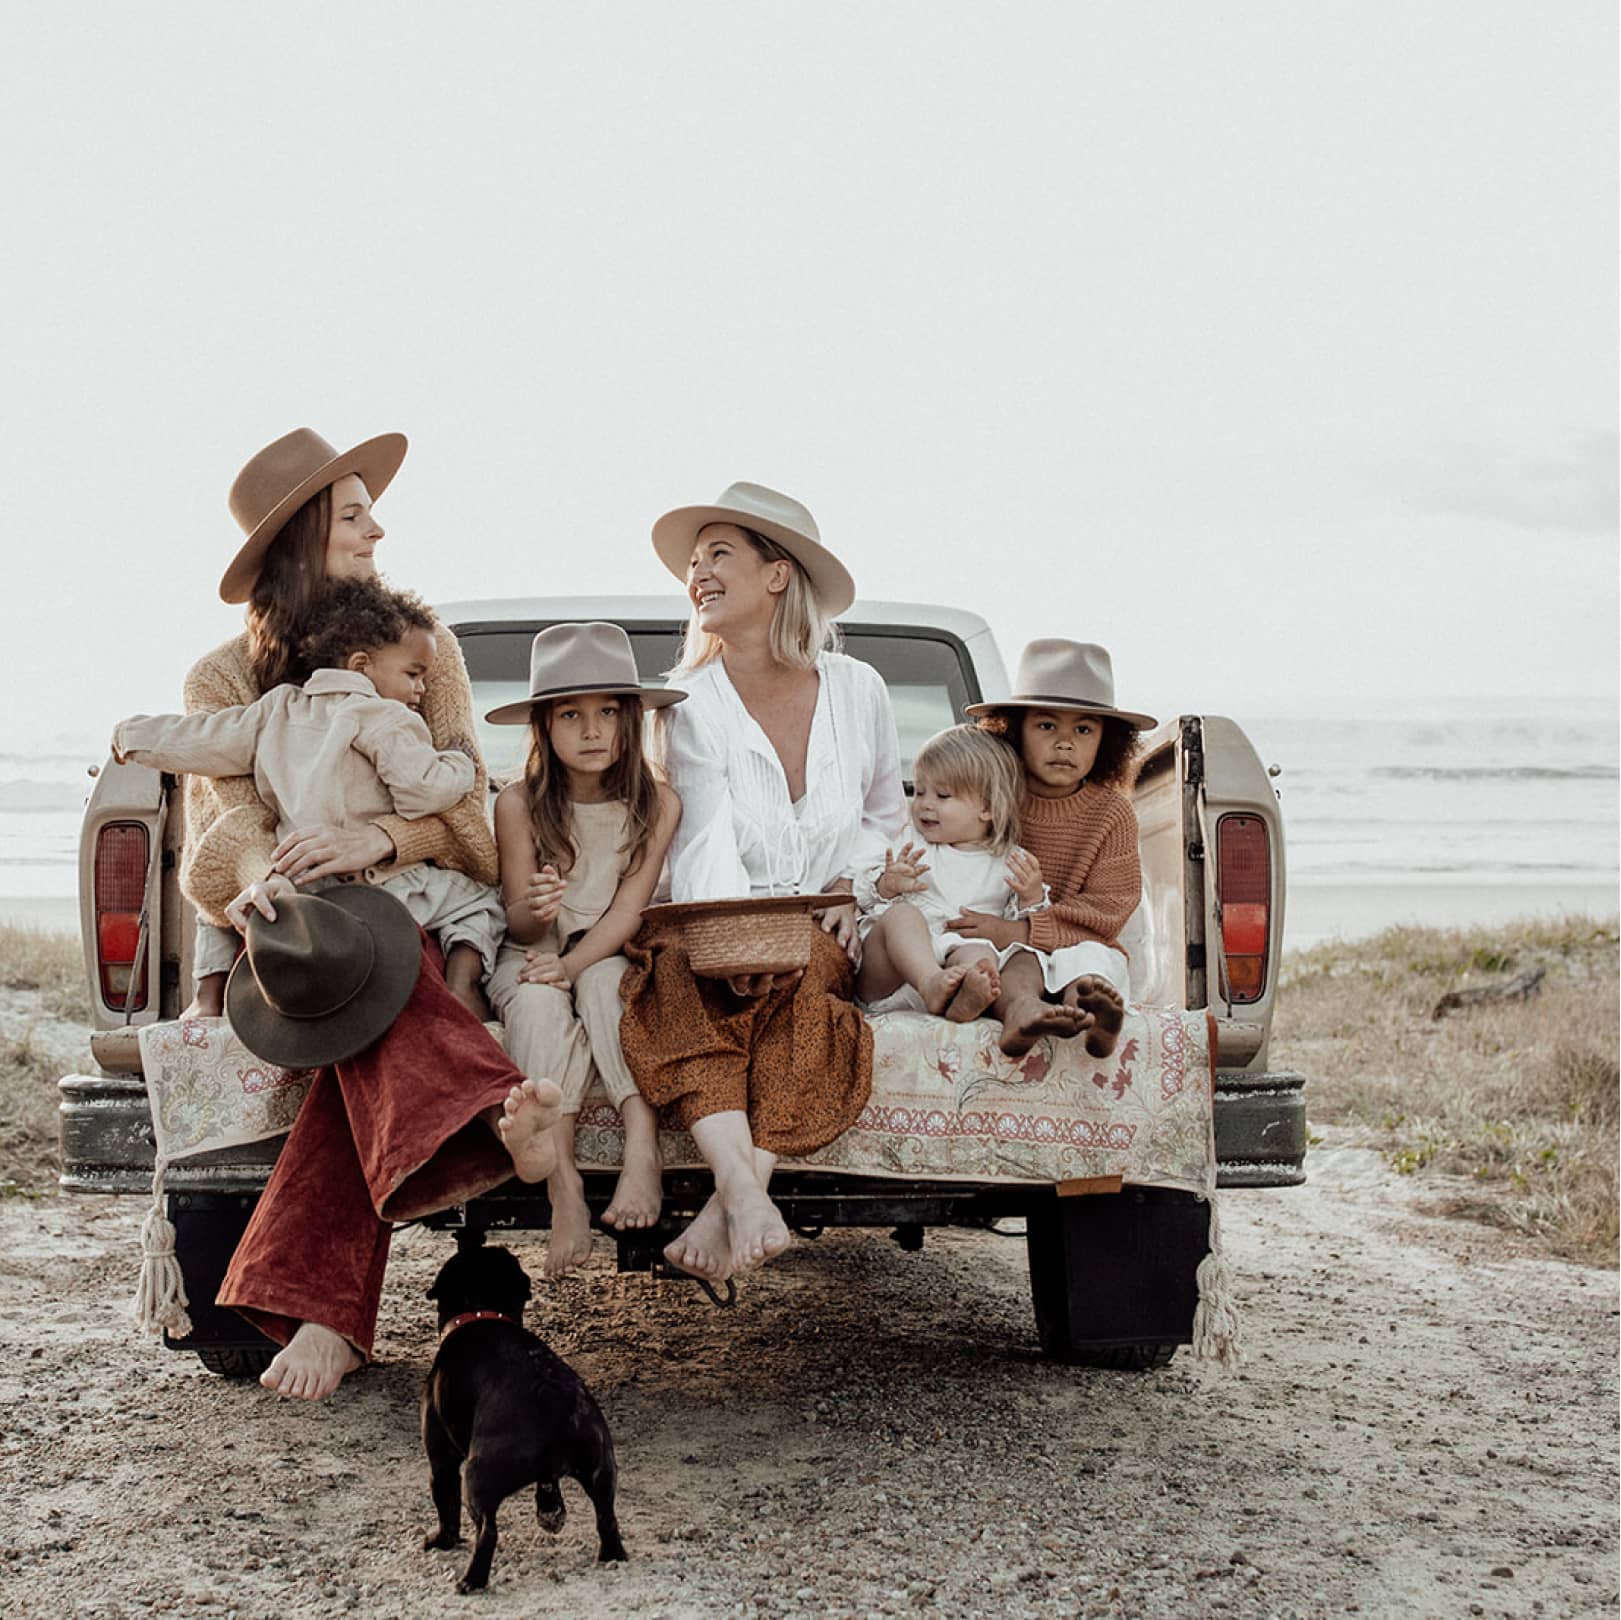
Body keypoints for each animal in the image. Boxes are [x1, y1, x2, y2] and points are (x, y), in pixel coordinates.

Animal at [418, 1245, 625, 1589]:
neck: (481, 1310)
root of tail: (559, 1407)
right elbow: (549, 1483)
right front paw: (551, 1512)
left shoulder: (441, 1460)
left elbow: (446, 1505)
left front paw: (442, 1541)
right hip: (602, 1471)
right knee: (607, 1519)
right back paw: (612, 1556)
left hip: (476, 1478)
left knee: (487, 1531)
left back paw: (471, 1581)